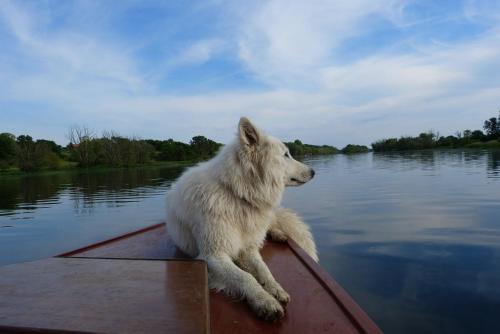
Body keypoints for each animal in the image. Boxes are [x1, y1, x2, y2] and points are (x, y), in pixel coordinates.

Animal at [166, 117, 318, 320]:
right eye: (286, 154)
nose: (313, 171)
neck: (238, 194)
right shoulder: (214, 256)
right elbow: (246, 277)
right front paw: (265, 300)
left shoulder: (248, 248)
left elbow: (264, 269)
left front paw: (275, 288)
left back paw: (278, 234)